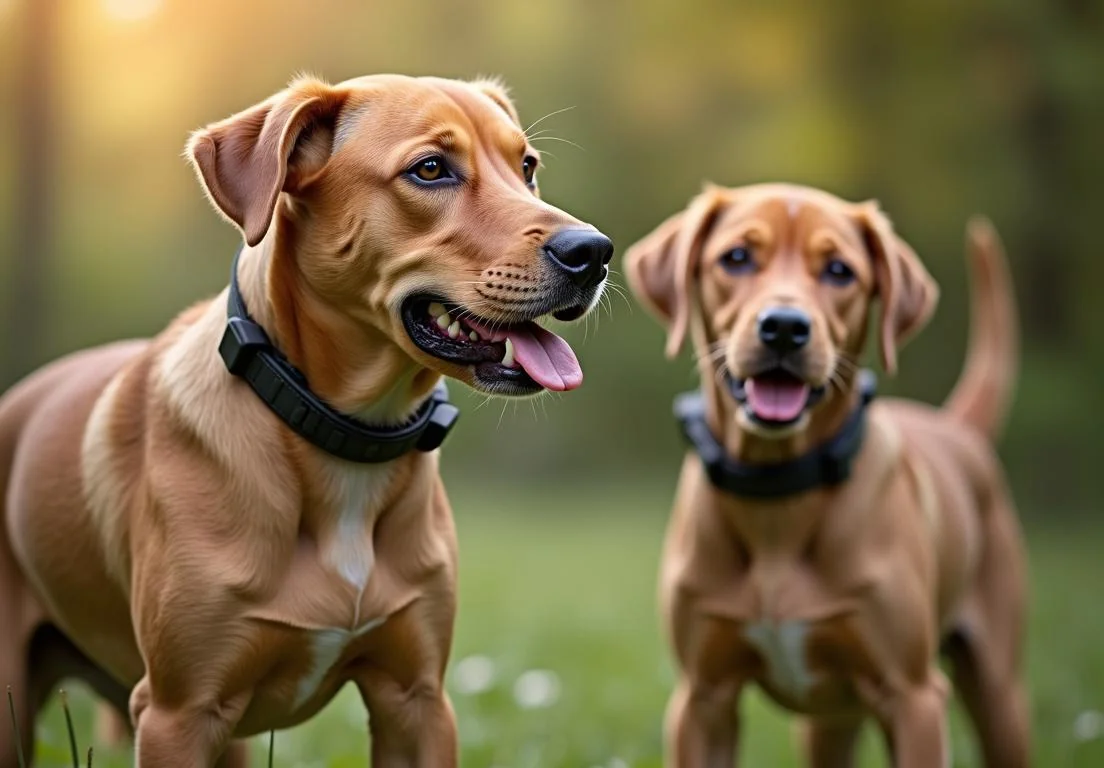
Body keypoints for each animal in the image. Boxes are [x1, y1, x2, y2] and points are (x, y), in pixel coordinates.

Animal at [0, 73, 613, 768]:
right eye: (431, 169)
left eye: (526, 167)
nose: (594, 252)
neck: (349, 440)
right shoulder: (178, 713)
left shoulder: (417, 699)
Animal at [627, 183, 1028, 763]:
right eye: (736, 257)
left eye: (840, 270)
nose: (784, 328)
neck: (777, 503)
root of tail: (955, 426)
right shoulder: (701, 701)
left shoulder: (914, 698)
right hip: (828, 725)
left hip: (998, 692)